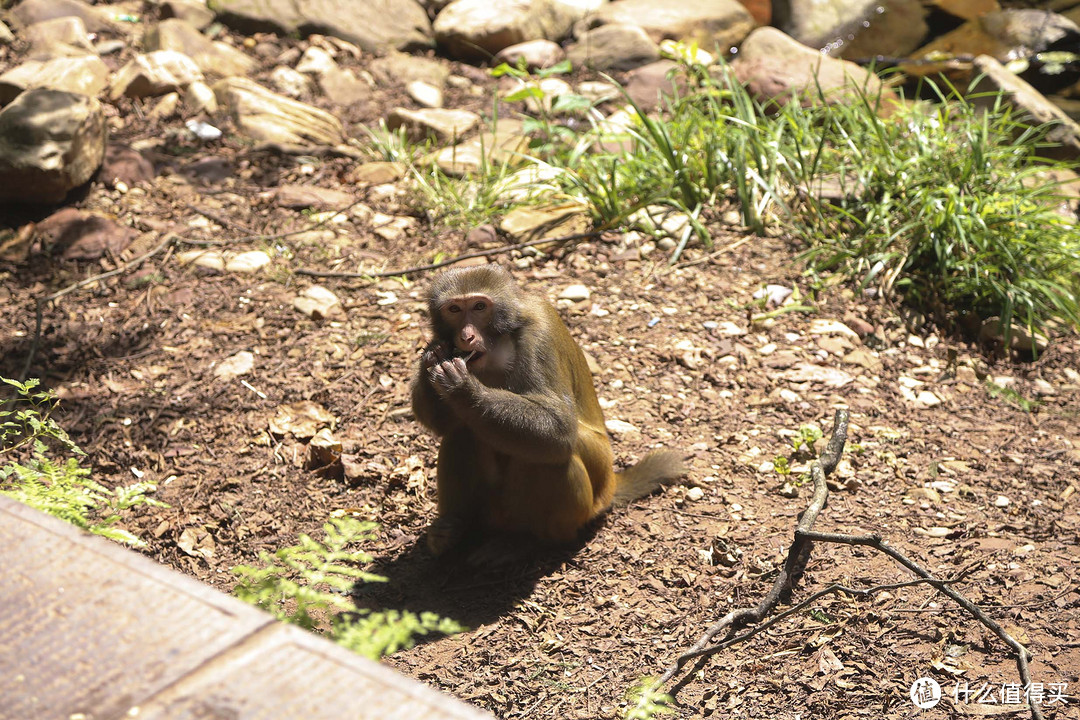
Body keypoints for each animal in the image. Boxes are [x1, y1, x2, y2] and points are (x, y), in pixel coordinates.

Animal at [408, 264, 678, 557]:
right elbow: (442, 424)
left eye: (479, 306)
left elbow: (558, 426)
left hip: (585, 495)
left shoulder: (539, 335)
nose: (466, 336)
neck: (501, 341)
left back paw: (532, 542)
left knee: (553, 454)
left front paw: (463, 389)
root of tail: (610, 485)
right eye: (454, 309)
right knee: (464, 430)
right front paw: (433, 358)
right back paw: (456, 529)